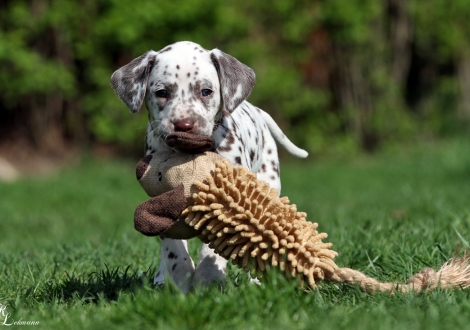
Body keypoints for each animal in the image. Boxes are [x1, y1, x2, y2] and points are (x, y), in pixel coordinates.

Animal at [110, 40, 308, 292]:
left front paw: (208, 280)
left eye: (206, 91)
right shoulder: (161, 202)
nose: (184, 125)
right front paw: (181, 279)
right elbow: (173, 248)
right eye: (162, 93)